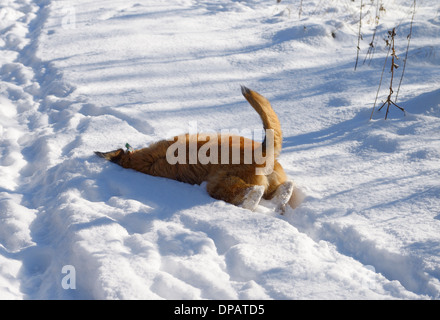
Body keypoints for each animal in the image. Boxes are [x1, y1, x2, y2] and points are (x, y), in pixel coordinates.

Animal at [95, 86, 296, 214]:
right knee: (270, 189)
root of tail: (263, 153)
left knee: (266, 190)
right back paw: (270, 204)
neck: (139, 161)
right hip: (229, 183)